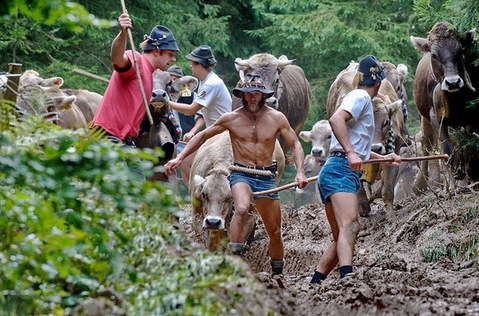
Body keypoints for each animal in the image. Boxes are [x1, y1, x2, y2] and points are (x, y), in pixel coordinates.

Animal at [408, 21, 479, 193]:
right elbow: (447, 150)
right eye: (434, 55)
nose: (453, 82)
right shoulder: (436, 118)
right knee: (427, 145)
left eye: (461, 51)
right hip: (424, 120)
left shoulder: (470, 116)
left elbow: (467, 146)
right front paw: (451, 186)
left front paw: (469, 177)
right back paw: (424, 184)